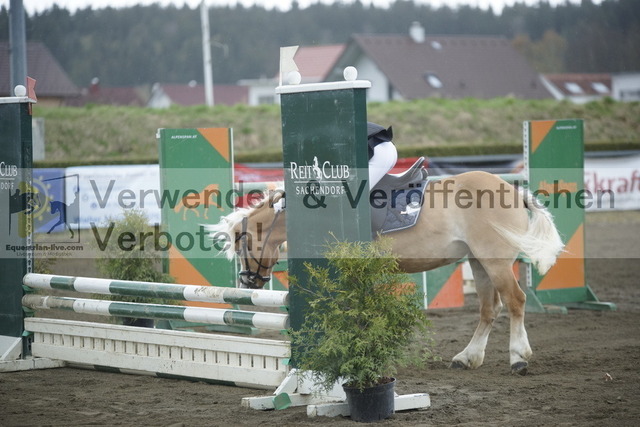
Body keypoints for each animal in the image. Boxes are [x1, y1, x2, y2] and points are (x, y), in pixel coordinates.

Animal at [208, 172, 564, 376]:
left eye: (240, 241)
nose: (247, 281)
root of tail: (512, 189)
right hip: (479, 261)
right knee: (490, 309)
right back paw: (467, 358)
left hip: (495, 260)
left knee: (515, 301)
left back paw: (518, 358)